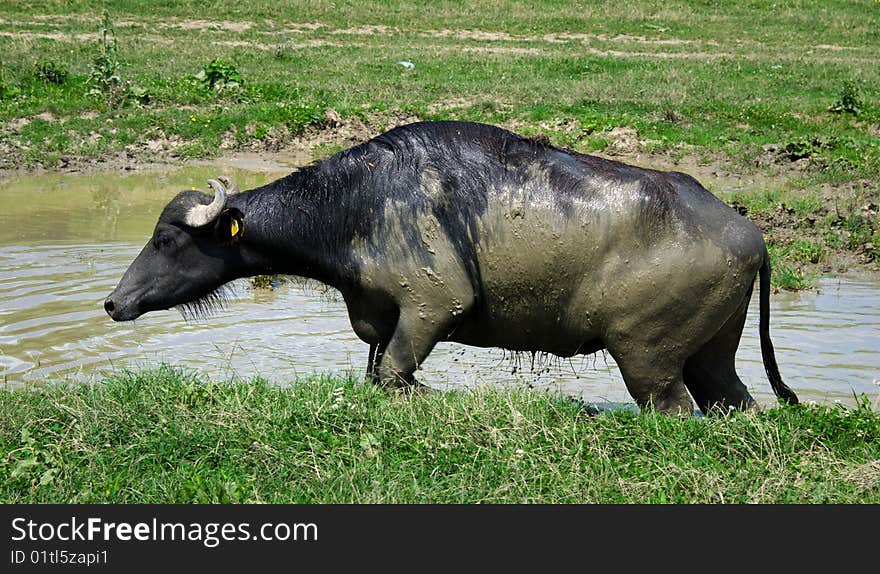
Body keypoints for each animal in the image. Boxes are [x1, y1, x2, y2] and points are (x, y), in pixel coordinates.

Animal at [105, 121, 796, 416]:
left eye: (166, 239)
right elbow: (377, 375)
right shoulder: (383, 321)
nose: (114, 302)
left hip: (646, 359)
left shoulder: (432, 309)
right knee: (736, 403)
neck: (357, 203)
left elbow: (396, 378)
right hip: (710, 356)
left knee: (673, 409)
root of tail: (750, 234)